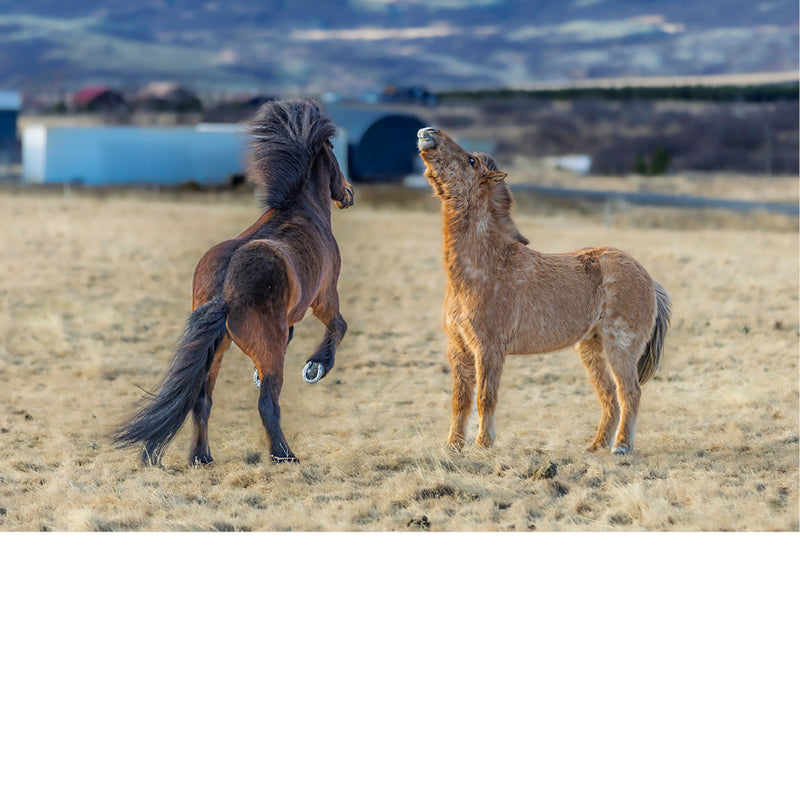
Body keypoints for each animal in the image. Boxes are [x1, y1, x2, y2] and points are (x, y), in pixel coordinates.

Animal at [114, 98, 354, 465]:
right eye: (335, 155)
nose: (348, 194)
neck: (303, 210)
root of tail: (223, 292)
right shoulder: (324, 296)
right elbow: (339, 326)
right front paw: (316, 367)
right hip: (262, 348)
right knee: (267, 403)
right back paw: (284, 455)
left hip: (217, 350)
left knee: (201, 400)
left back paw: (202, 457)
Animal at [417, 127, 671, 455]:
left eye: (471, 160)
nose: (428, 133)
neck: (484, 265)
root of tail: (649, 279)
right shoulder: (458, 349)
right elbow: (460, 400)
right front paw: (453, 447)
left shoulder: (488, 349)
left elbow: (485, 397)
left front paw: (483, 444)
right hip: (590, 348)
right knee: (609, 397)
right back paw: (595, 446)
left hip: (620, 347)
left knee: (629, 392)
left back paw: (622, 446)